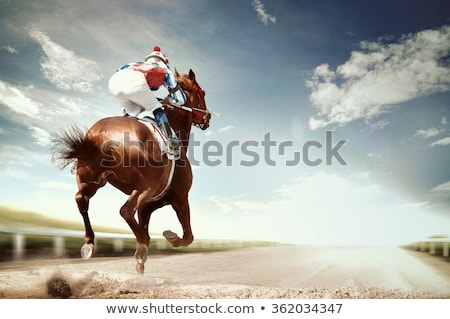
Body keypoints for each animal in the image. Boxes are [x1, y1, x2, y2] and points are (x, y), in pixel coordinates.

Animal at [51, 70, 211, 276]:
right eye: (203, 93)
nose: (208, 118)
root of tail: (100, 135)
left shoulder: (151, 202)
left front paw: (140, 265)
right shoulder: (179, 196)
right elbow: (188, 236)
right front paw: (169, 237)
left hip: (92, 180)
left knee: (81, 199)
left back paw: (90, 243)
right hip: (145, 186)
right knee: (125, 210)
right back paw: (142, 243)